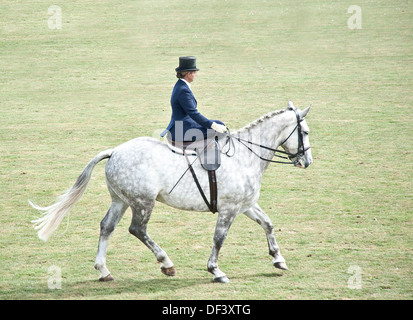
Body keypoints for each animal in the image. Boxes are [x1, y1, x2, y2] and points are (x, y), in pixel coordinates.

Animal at [29, 101, 312, 284]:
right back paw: (166, 264)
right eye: (306, 132)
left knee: (106, 227)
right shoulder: (229, 209)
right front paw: (215, 271)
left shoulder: (245, 205)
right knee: (138, 230)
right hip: (143, 202)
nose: (307, 162)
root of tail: (115, 151)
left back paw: (103, 271)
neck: (244, 156)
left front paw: (278, 259)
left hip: (121, 200)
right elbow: (219, 239)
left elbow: (268, 224)